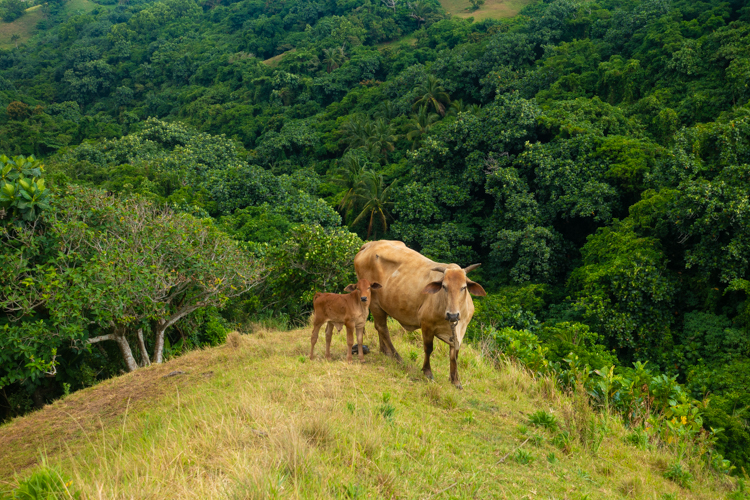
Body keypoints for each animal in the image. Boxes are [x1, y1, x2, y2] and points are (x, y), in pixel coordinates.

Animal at [354, 240, 488, 388]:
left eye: (463, 287)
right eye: (444, 286)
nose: (452, 315)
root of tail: (370, 244)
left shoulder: (460, 330)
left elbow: (454, 355)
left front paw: (455, 380)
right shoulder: (427, 325)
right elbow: (428, 349)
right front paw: (427, 372)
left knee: (380, 328)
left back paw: (385, 352)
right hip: (373, 302)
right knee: (382, 328)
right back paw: (397, 357)